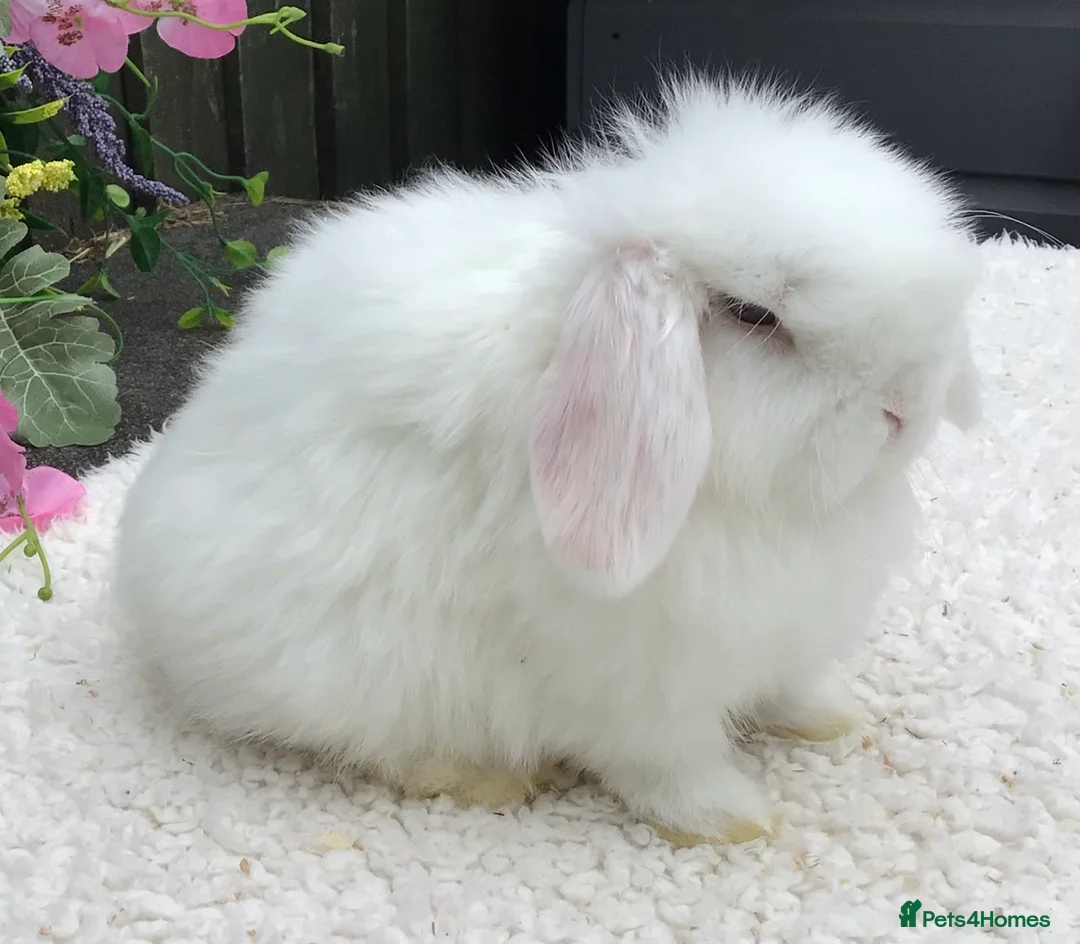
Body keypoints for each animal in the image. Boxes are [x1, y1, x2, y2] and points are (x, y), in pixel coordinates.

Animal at [111, 73, 982, 846]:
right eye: (754, 315)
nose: (907, 405)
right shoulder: (637, 681)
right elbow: (669, 762)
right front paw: (730, 819)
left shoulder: (782, 631)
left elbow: (789, 684)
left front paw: (827, 716)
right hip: (350, 671)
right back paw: (487, 778)